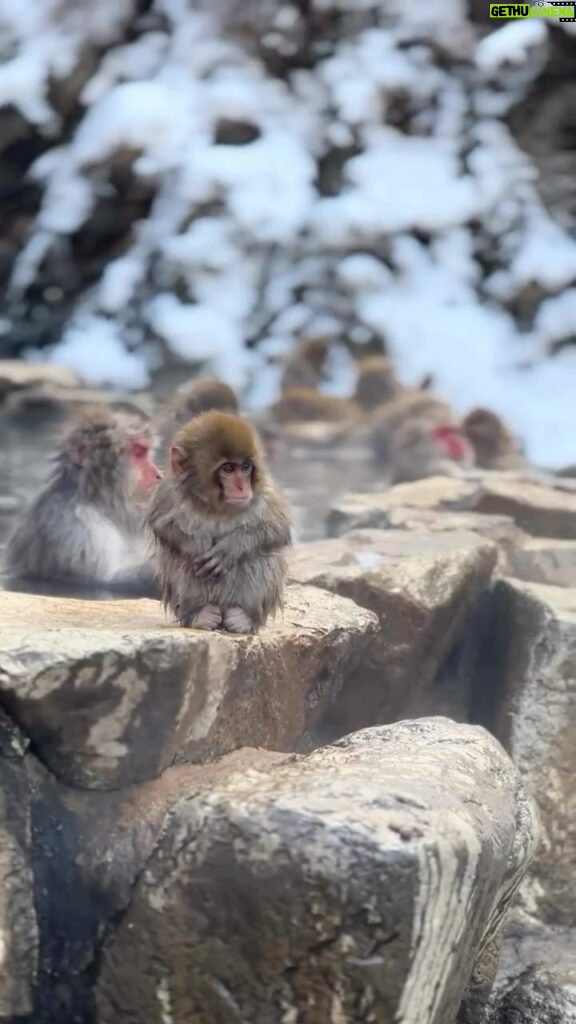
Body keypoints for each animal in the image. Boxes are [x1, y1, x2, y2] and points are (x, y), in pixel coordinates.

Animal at [147, 407, 291, 630]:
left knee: (265, 558)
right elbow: (161, 524)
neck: (216, 506)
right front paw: (196, 546)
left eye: (246, 466)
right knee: (179, 559)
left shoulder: (264, 490)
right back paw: (198, 614)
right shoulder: (169, 489)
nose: (242, 487)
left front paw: (230, 549)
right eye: (228, 469)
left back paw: (246, 617)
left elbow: (278, 528)